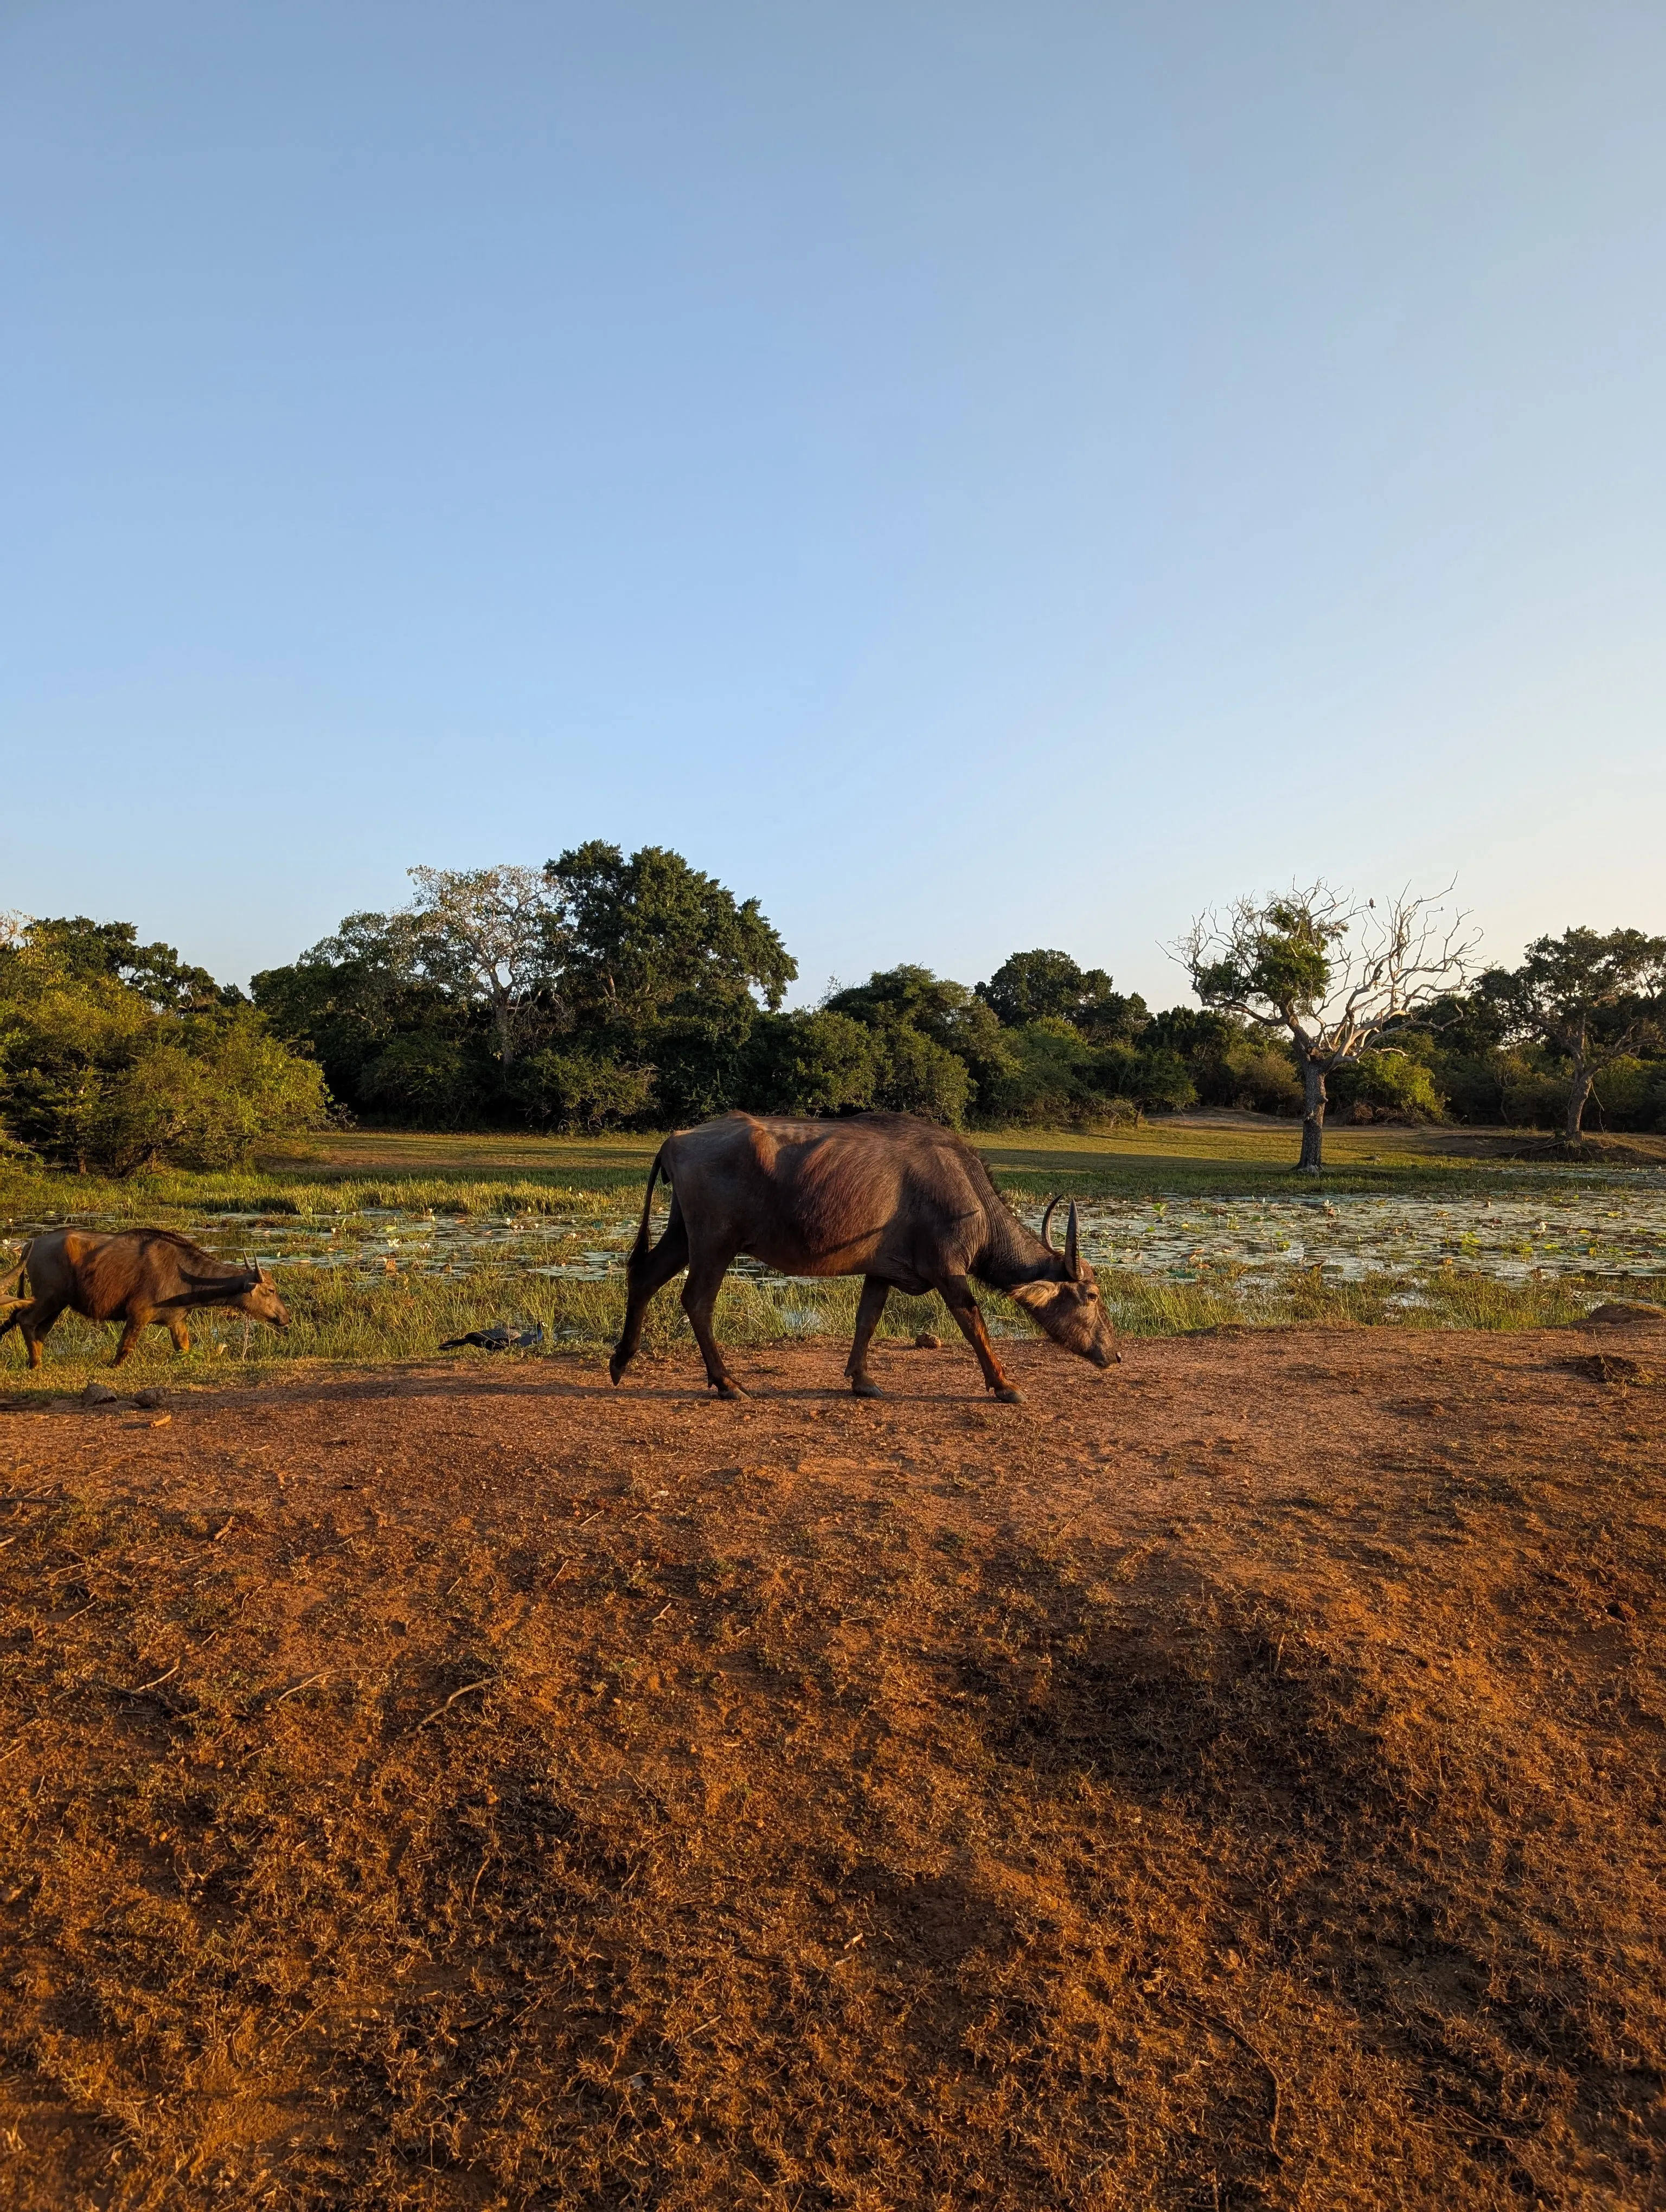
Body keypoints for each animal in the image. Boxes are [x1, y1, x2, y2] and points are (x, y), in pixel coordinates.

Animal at [0, 1229, 289, 1368]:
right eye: (271, 1290)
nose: (285, 1318)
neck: (184, 1274)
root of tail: (32, 1244)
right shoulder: (138, 1315)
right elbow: (124, 1348)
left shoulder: (176, 1322)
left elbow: (184, 1348)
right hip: (48, 1299)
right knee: (25, 1319)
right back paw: (35, 1363)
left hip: (57, 1305)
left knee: (38, 1330)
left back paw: (37, 1362)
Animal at [608, 1109, 1118, 1401]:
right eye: (1092, 1296)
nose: (1114, 1355)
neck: (967, 1194)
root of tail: (677, 1138)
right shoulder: (948, 1270)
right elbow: (974, 1322)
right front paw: (1004, 1384)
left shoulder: (882, 1271)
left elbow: (867, 1320)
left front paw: (861, 1380)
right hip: (714, 1243)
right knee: (696, 1301)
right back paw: (727, 1383)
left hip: (682, 1234)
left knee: (645, 1276)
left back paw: (621, 1360)